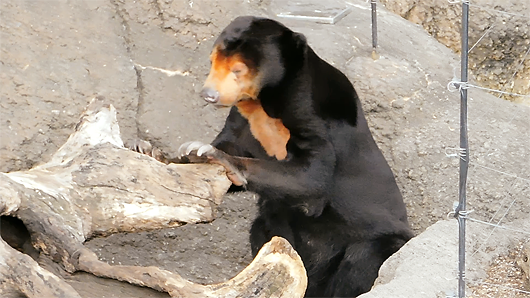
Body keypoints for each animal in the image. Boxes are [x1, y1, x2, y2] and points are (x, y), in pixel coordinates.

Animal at [177, 16, 412, 298]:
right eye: (212, 61)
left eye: (238, 70)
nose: (209, 95)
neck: (264, 101)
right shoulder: (244, 120)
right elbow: (232, 143)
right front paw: (189, 152)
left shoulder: (312, 113)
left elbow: (313, 178)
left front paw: (217, 157)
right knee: (263, 230)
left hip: (379, 239)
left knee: (363, 260)